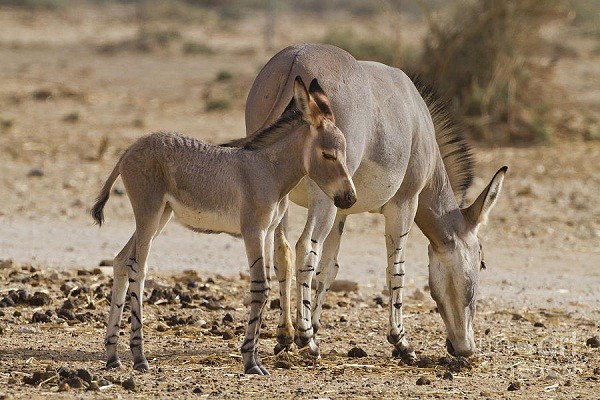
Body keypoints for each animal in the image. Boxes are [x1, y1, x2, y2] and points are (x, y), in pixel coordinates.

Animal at [89, 77, 356, 376]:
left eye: (344, 153)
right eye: (329, 155)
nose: (350, 198)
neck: (268, 171)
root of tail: (128, 149)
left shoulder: (266, 233)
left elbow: (266, 285)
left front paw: (256, 358)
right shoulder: (253, 231)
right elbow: (260, 287)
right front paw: (251, 361)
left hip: (160, 216)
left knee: (121, 260)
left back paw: (113, 355)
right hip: (149, 212)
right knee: (138, 268)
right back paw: (139, 357)